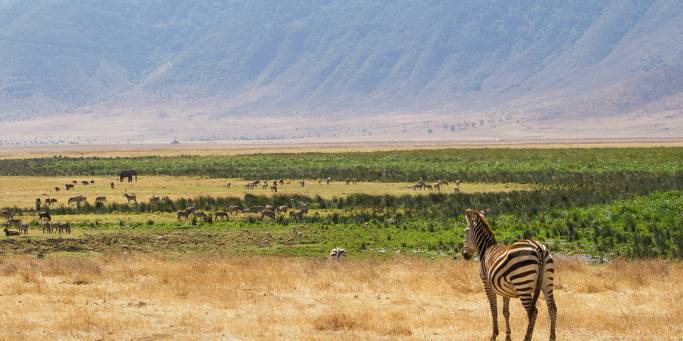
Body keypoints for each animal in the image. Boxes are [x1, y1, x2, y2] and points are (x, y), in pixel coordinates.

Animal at [462, 207, 560, 340]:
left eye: (465, 232)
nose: (464, 255)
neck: (486, 248)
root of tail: (538, 247)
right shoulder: (505, 290)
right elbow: (505, 312)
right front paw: (508, 336)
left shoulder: (487, 284)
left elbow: (494, 309)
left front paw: (494, 335)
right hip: (547, 281)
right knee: (552, 308)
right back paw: (551, 337)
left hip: (523, 284)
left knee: (533, 312)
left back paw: (527, 338)